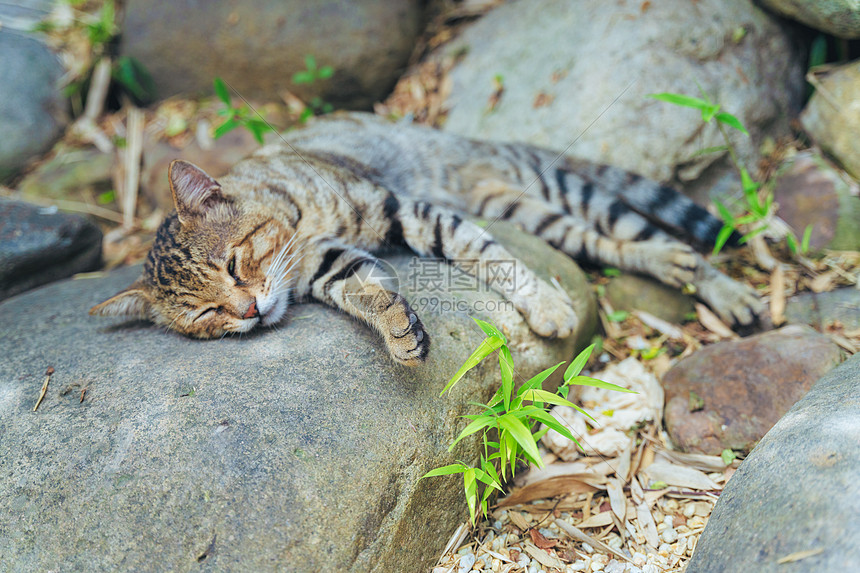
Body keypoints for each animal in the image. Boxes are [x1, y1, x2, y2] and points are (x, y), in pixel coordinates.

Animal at [90, 111, 764, 364]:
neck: (298, 225)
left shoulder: (402, 209)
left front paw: (544, 303)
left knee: (639, 240)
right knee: (614, 246)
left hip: (546, 196)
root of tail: (470, 138)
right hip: (523, 208)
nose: (250, 311)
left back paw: (729, 292)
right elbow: (366, 290)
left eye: (232, 265)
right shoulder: (330, 263)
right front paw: (396, 327)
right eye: (206, 314)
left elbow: (485, 253)